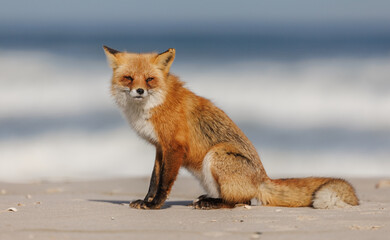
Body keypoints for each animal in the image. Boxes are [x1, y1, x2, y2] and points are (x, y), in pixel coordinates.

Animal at [102, 46, 358, 209]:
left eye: (149, 80)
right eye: (128, 78)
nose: (139, 91)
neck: (154, 105)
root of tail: (262, 178)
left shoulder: (173, 147)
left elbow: (164, 182)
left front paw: (155, 205)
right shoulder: (159, 147)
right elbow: (154, 180)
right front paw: (145, 200)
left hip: (217, 154)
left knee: (239, 202)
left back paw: (213, 204)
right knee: (243, 200)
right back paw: (208, 199)